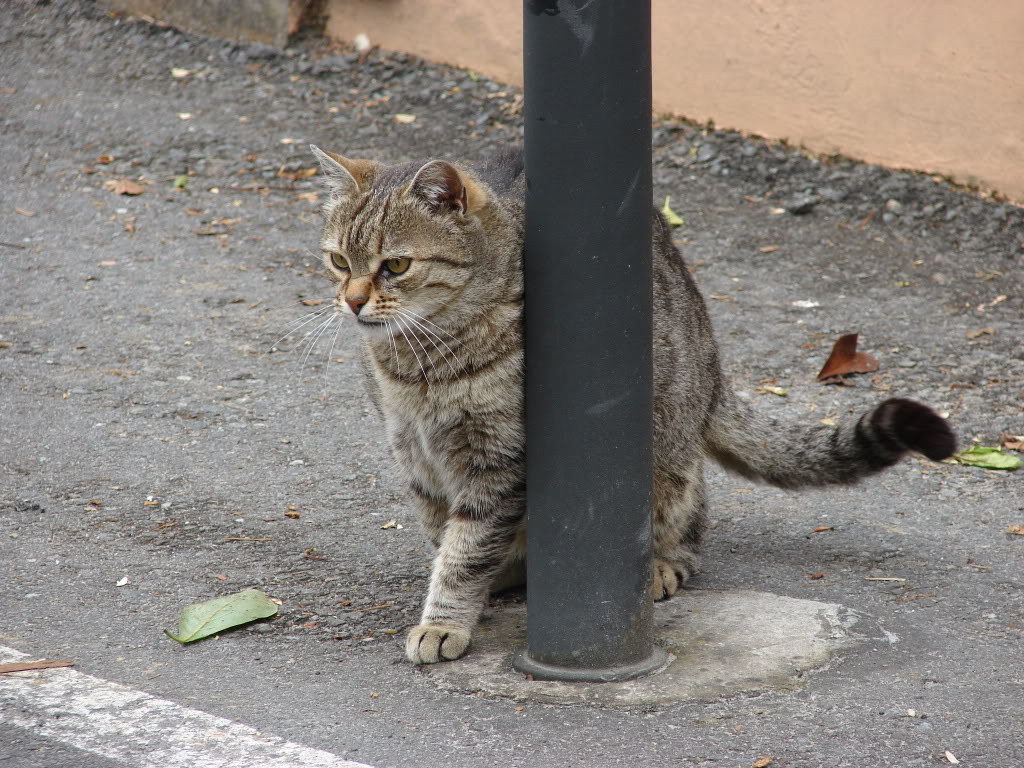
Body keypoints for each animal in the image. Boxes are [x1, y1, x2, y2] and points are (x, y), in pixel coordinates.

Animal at [307, 145, 954, 667]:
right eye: (338, 261)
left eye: (395, 265)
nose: (352, 301)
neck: (424, 363)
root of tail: (713, 373)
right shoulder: (414, 453)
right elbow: (445, 532)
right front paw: (469, 587)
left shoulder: (499, 458)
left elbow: (467, 549)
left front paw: (444, 620)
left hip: (665, 453)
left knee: (691, 521)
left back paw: (662, 565)